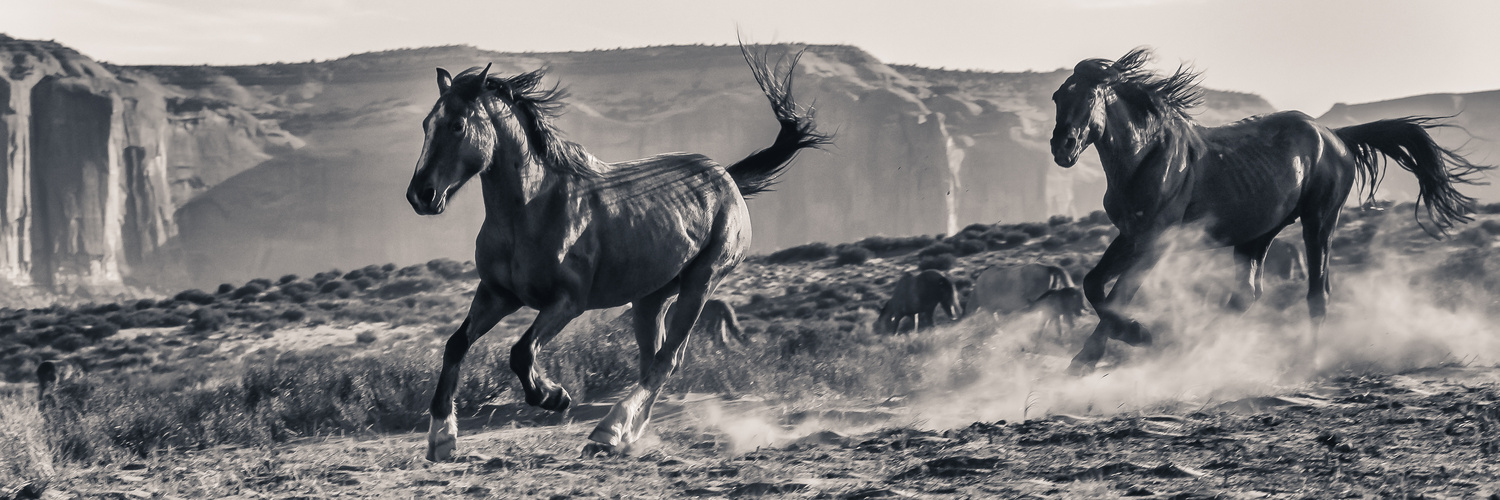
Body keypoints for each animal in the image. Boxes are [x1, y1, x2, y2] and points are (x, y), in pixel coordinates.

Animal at [408, 44, 834, 456]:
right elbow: (456, 345)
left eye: (457, 125)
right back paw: (622, 435)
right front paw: (441, 438)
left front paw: (554, 396)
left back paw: (607, 431)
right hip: (650, 298)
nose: (421, 195)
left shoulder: (567, 302)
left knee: (666, 360)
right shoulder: (498, 295)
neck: (532, 208)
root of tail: (726, 177)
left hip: (701, 282)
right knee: (653, 363)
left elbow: (521, 352)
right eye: (427, 124)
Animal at [1050, 47, 1494, 373]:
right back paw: (1195, 353)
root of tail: (1336, 136)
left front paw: (1131, 338)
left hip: (1319, 222)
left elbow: (1118, 294)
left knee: (1317, 294)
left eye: (1088, 96)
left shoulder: (1156, 242)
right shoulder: (1130, 236)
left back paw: (1306, 361)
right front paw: (1090, 357)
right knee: (1246, 296)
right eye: (1057, 96)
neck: (1148, 156)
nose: (1062, 148)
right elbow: (1094, 284)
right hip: (1256, 236)